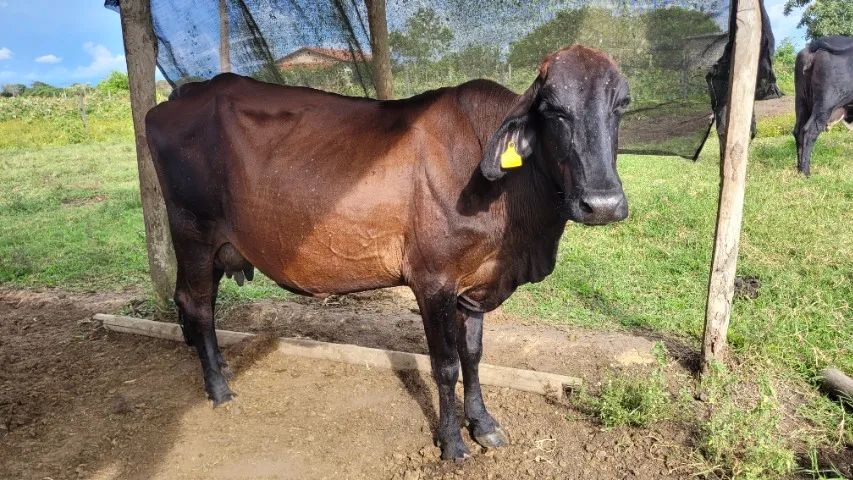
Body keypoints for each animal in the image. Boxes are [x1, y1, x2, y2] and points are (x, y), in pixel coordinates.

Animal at [145, 45, 630, 461]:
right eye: (552, 109)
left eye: (621, 104)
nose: (602, 204)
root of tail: (184, 94)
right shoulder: (432, 279)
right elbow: (445, 365)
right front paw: (452, 442)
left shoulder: (476, 280)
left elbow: (473, 356)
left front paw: (484, 424)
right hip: (193, 231)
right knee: (197, 303)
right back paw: (218, 388)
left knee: (192, 302)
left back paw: (221, 367)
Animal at [793, 35, 853, 176]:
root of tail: (812, 45)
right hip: (826, 102)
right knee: (809, 131)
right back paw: (806, 172)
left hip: (801, 100)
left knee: (798, 130)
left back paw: (799, 169)